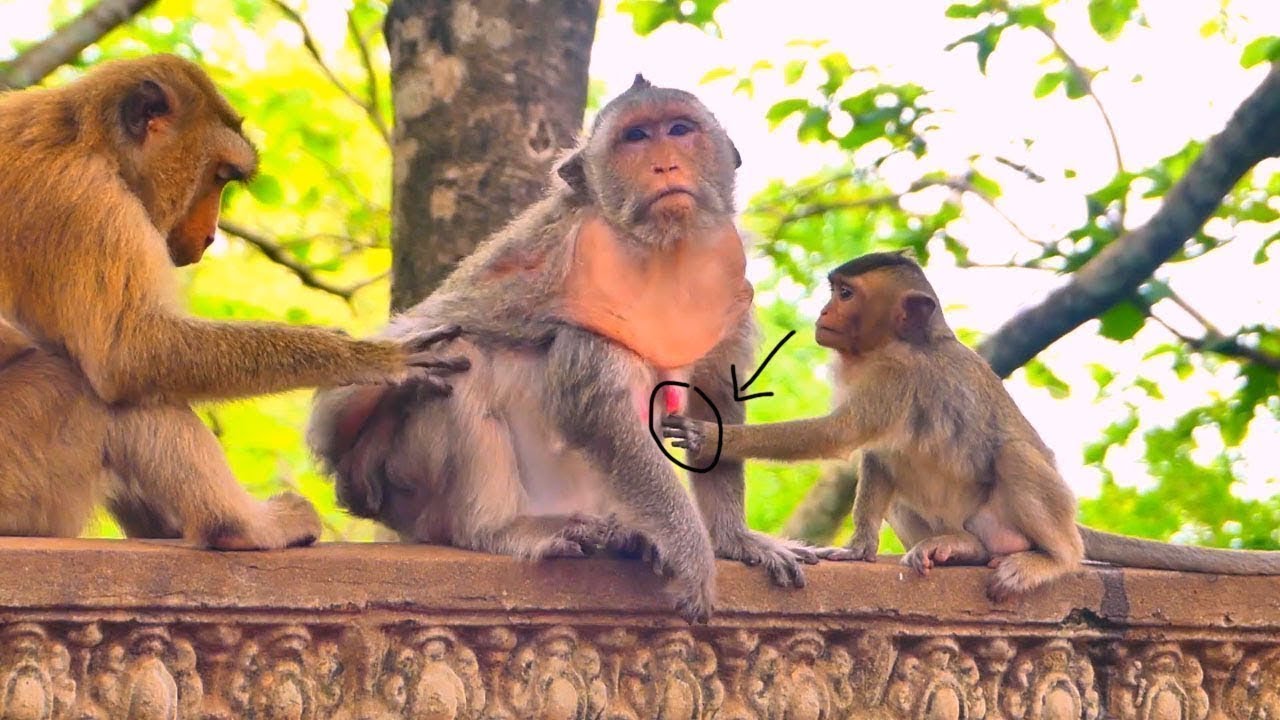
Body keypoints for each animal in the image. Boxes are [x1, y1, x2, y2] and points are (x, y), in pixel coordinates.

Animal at [0, 54, 467, 549]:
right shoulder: (88, 203)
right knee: (102, 387)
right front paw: (367, 359)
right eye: (219, 176)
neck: (85, 137)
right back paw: (242, 527)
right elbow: (128, 353)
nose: (210, 235)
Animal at [309, 74, 817, 623]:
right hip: (407, 482)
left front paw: (736, 540)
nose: (665, 165)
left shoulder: (727, 298)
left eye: (680, 130)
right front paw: (693, 554)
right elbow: (599, 414)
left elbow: (715, 400)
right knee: (461, 357)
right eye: (636, 137)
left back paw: (627, 536)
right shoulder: (585, 285)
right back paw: (498, 528)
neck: (665, 253)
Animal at [663, 251, 1280, 600]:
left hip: (1022, 515)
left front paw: (712, 436)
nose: (824, 314)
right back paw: (957, 547)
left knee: (1014, 459)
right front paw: (859, 549)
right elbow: (877, 457)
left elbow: (839, 437)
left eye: (845, 294)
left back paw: (1052, 560)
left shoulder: (895, 376)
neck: (901, 341)